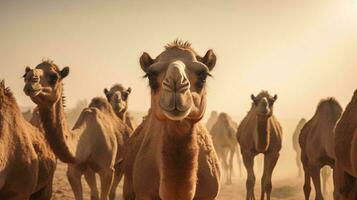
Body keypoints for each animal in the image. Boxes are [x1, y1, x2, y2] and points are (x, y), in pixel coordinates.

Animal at [23, 61, 131, 200]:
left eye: (54, 77)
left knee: (113, 188)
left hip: (120, 162)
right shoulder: (73, 172)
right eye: (24, 75)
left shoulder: (107, 170)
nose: (30, 79)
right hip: (89, 169)